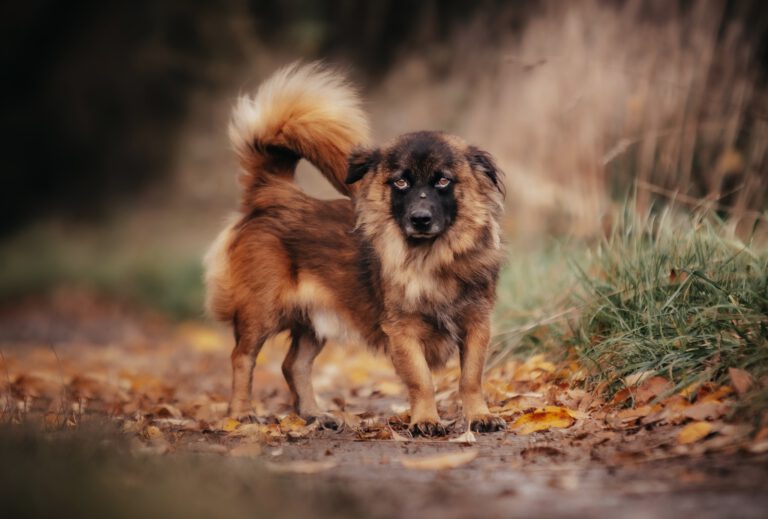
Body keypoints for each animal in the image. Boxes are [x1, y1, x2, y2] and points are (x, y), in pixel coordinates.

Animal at [204, 63, 508, 436]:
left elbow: (471, 378)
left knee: (294, 365)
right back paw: (241, 414)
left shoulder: (476, 324)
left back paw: (315, 414)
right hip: (261, 311)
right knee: (242, 358)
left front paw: (480, 416)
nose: (420, 219)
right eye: (401, 182)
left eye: (443, 181)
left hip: (313, 321)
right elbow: (421, 380)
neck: (430, 257)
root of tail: (275, 195)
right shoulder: (403, 330)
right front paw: (425, 419)